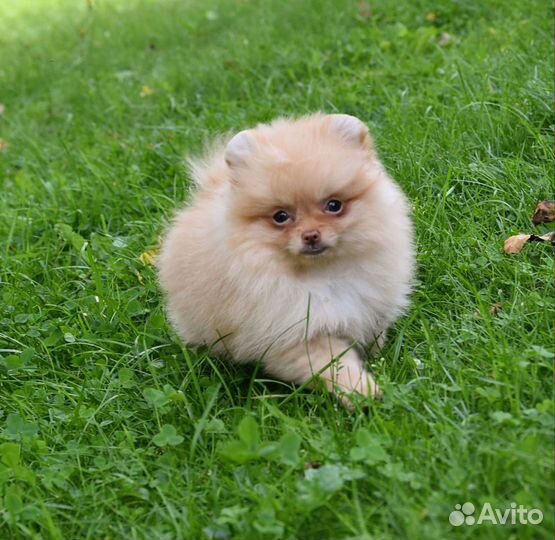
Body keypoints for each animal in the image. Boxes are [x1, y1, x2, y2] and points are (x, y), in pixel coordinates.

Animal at [156, 115, 412, 410]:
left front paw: (376, 360)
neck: (324, 273)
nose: (311, 235)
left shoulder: (371, 307)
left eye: (334, 205)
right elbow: (333, 364)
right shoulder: (294, 334)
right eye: (280, 217)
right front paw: (361, 392)